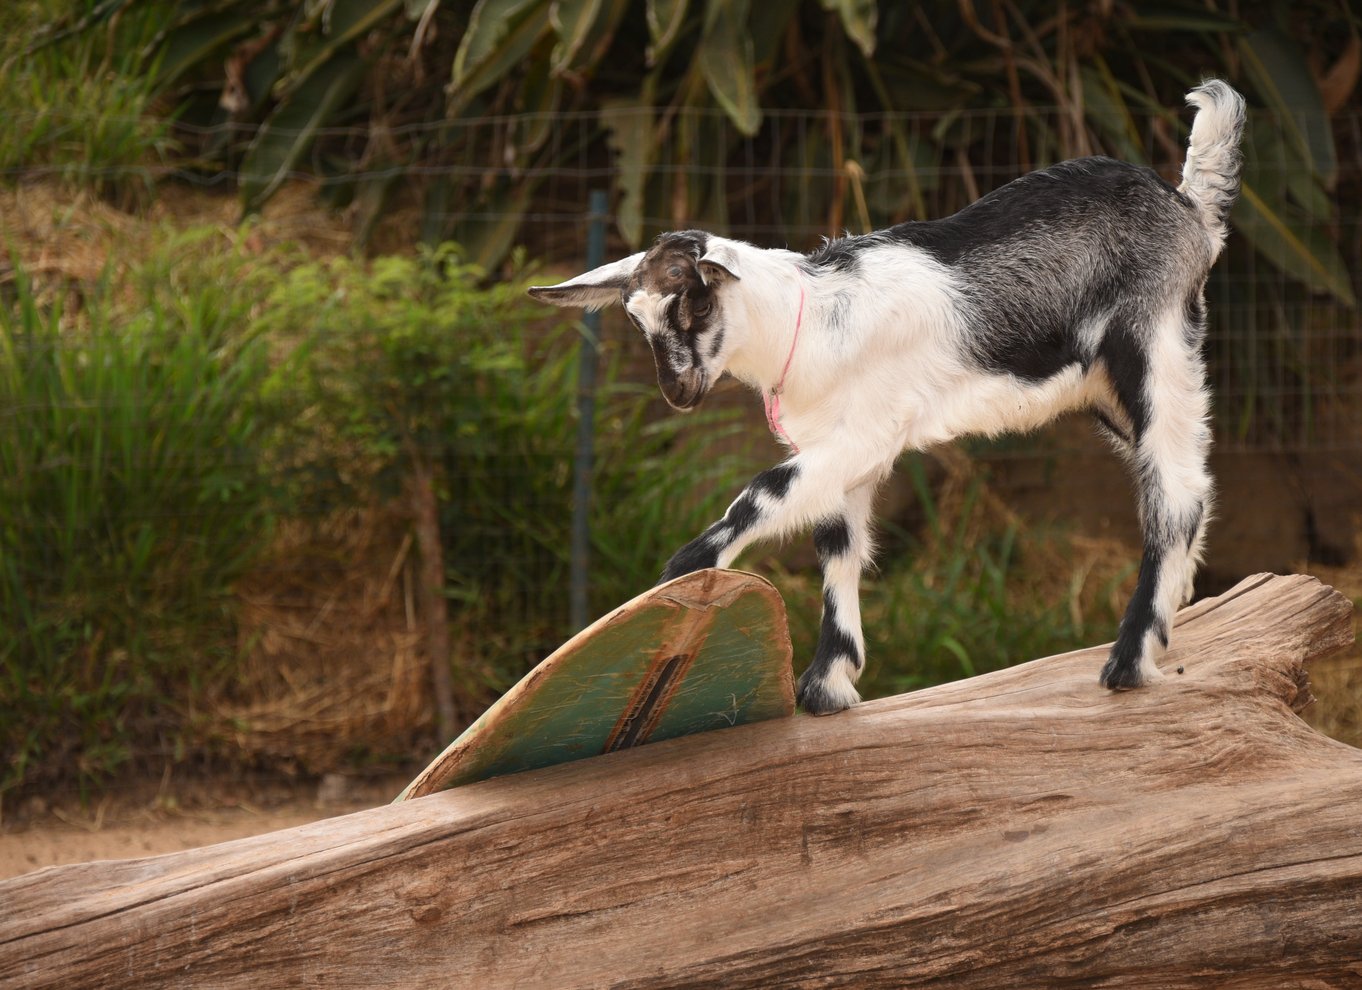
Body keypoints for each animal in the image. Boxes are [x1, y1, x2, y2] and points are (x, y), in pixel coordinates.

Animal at [528, 77, 1247, 713]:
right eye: (636, 320)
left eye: (697, 303)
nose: (677, 391)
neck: (810, 317)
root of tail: (1190, 212)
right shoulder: (840, 454)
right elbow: (837, 546)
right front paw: (827, 686)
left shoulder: (866, 434)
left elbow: (764, 493)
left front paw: (681, 578)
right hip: (1110, 389)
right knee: (1192, 484)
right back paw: (1169, 622)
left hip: (1154, 346)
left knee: (1175, 494)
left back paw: (1130, 661)